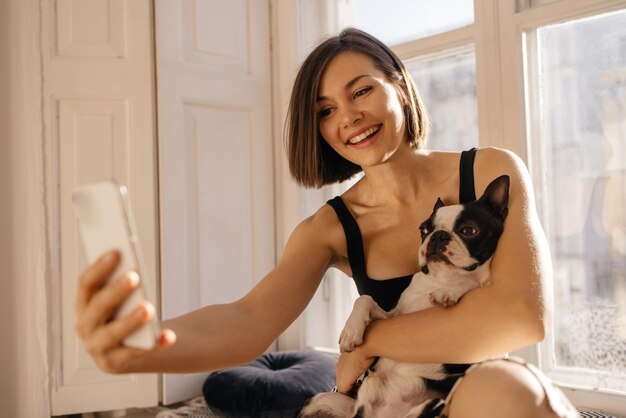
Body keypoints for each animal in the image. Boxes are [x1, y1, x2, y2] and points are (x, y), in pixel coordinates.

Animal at [300, 176, 510, 418]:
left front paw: (448, 292)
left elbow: (470, 280)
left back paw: (433, 404)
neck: (439, 278)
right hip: (321, 401)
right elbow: (365, 299)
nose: (437, 236)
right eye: (424, 229)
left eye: (468, 230)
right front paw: (351, 331)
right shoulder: (394, 317)